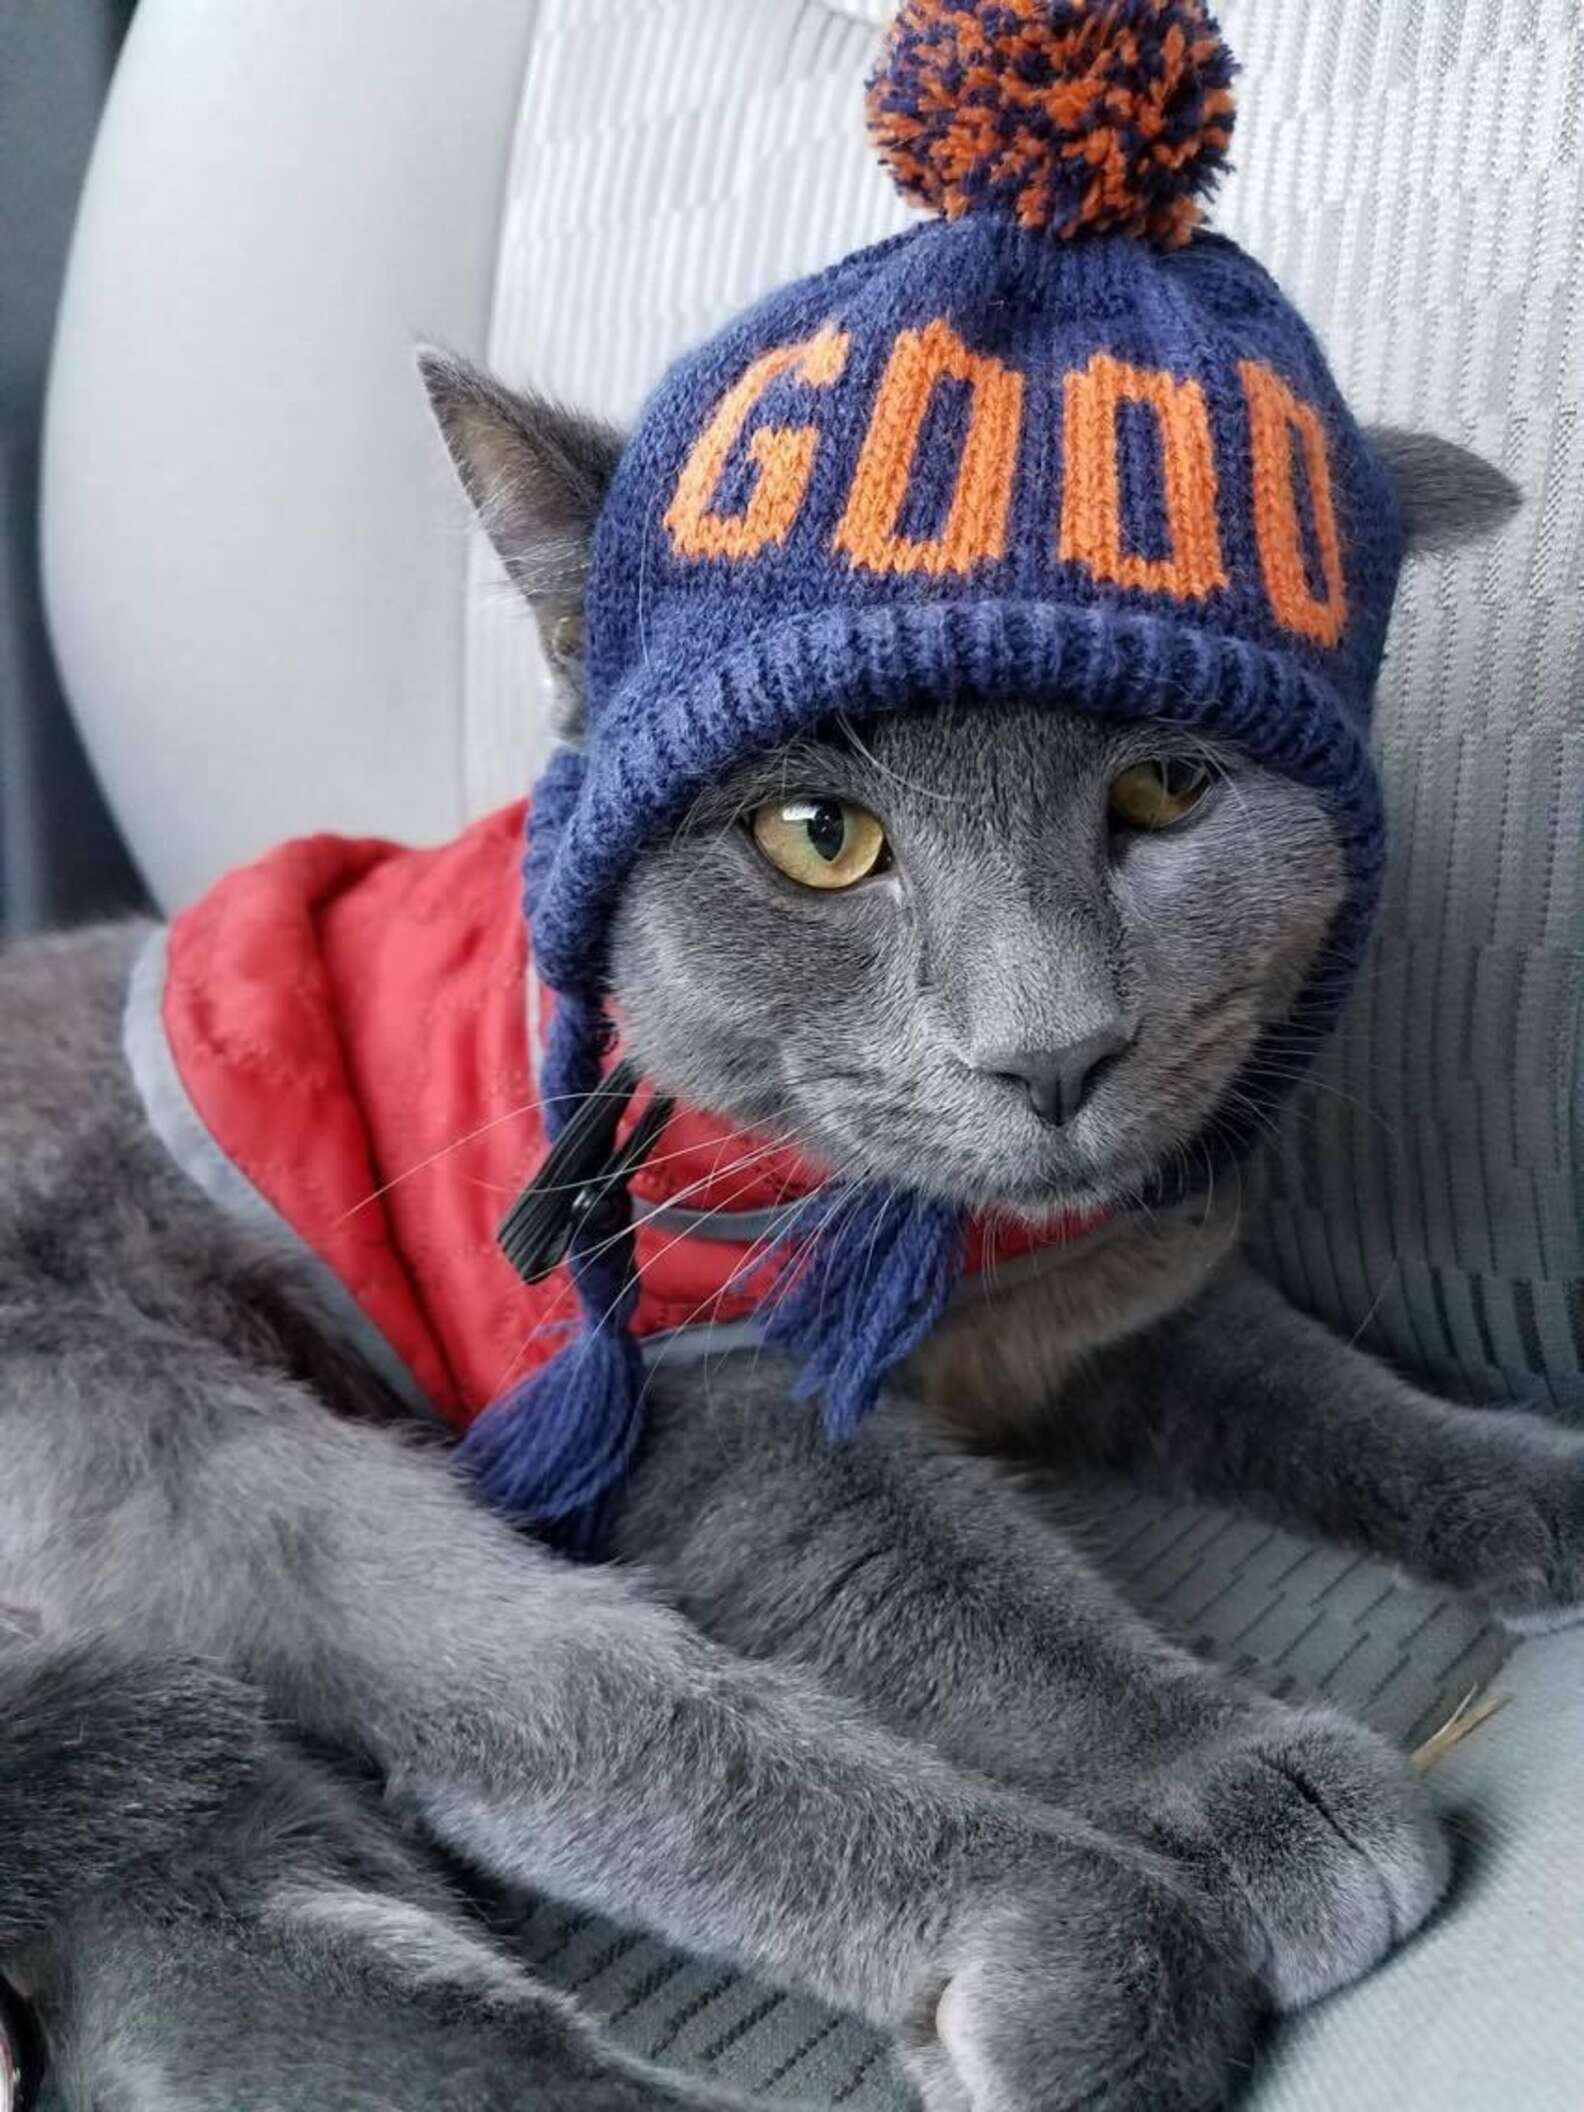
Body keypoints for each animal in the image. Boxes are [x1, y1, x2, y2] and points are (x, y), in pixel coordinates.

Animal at [3, 4, 1579, 2112]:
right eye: (816, 839)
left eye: (1166, 790)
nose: (1047, 1049)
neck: (952, 1250)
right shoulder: (701, 1395)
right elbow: (958, 1600)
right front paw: (1227, 1774)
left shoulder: (1115, 1274)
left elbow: (1319, 1385)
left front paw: (1530, 1480)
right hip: (145, 1407)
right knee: (541, 1703)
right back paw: (1079, 1936)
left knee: (227, 1867)